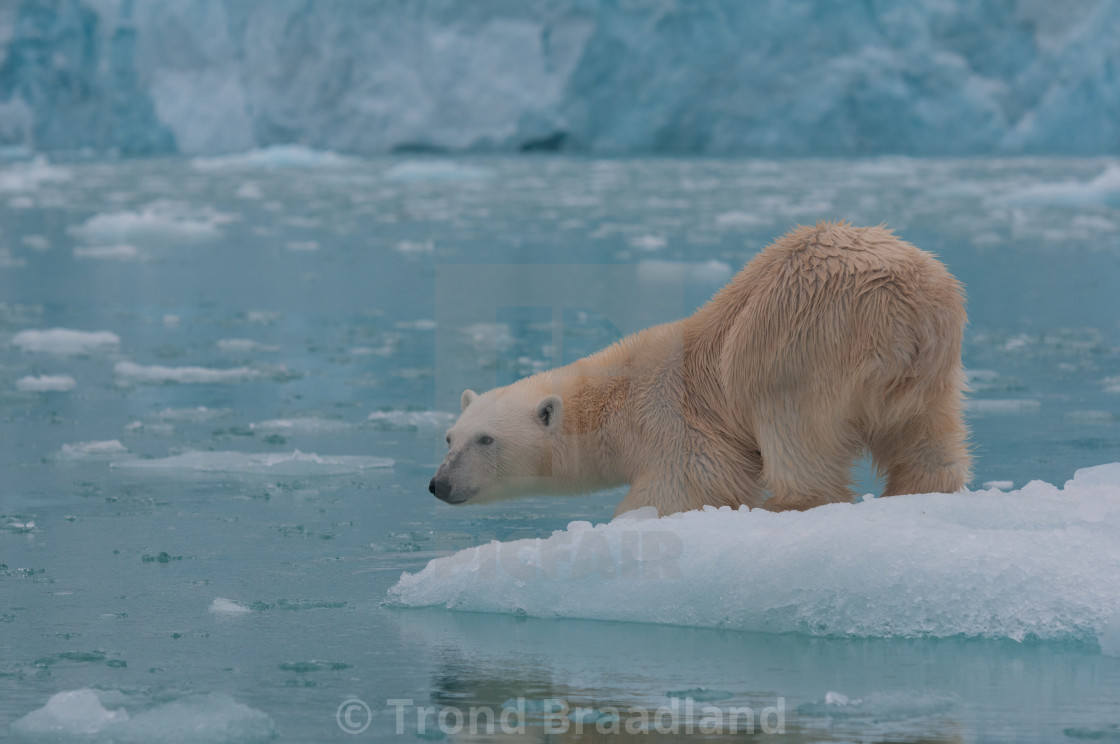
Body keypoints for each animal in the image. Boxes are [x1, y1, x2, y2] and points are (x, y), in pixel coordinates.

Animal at [427, 219, 972, 510]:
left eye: (486, 439)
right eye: (450, 437)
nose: (439, 484)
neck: (615, 401)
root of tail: (909, 301)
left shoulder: (675, 423)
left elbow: (689, 483)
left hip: (801, 337)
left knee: (794, 428)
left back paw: (787, 502)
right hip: (935, 364)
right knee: (929, 438)